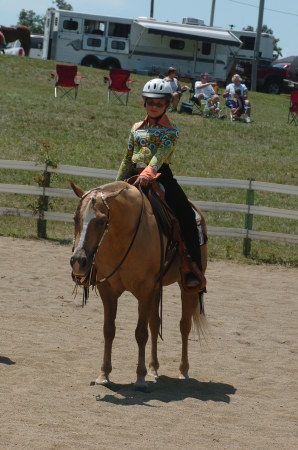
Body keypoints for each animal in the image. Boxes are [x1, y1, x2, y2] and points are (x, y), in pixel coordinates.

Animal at [70, 180, 207, 390]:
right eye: (75, 218)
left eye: (102, 220)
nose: (78, 261)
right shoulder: (108, 290)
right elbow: (109, 330)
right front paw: (104, 374)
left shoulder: (144, 290)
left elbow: (141, 333)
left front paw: (140, 378)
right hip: (157, 288)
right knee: (155, 323)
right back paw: (153, 368)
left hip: (187, 288)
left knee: (184, 325)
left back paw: (183, 371)